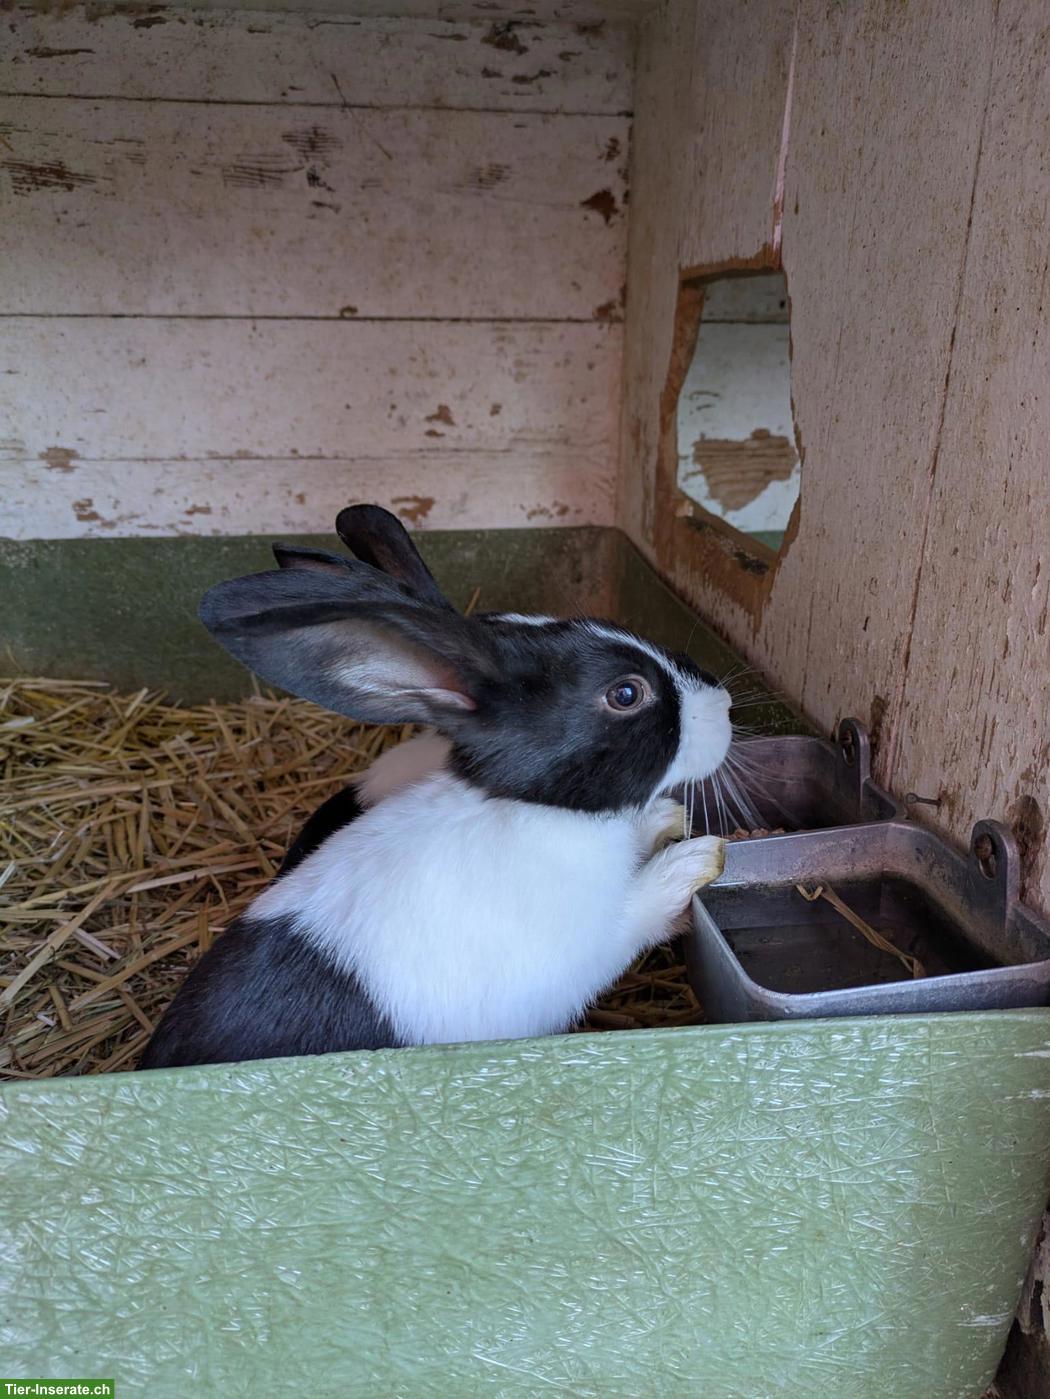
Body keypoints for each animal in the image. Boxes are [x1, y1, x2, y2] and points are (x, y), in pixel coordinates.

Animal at [139, 505, 731, 1070]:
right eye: (626, 693)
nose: (723, 704)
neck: (538, 811)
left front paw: (667, 818)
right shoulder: (594, 937)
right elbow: (643, 906)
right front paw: (696, 859)